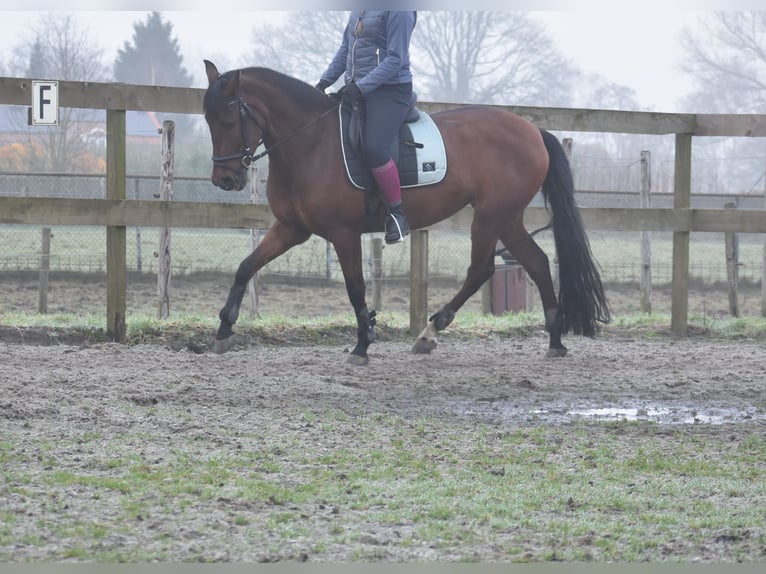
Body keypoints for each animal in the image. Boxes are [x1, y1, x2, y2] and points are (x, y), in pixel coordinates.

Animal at [202, 60, 612, 366]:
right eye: (208, 121)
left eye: (227, 121)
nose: (224, 179)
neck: (310, 143)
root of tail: (531, 130)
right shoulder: (290, 228)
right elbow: (245, 266)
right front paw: (224, 330)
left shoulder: (343, 233)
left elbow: (355, 287)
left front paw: (363, 343)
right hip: (506, 218)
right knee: (537, 262)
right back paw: (554, 339)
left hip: (490, 216)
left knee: (482, 269)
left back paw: (431, 332)